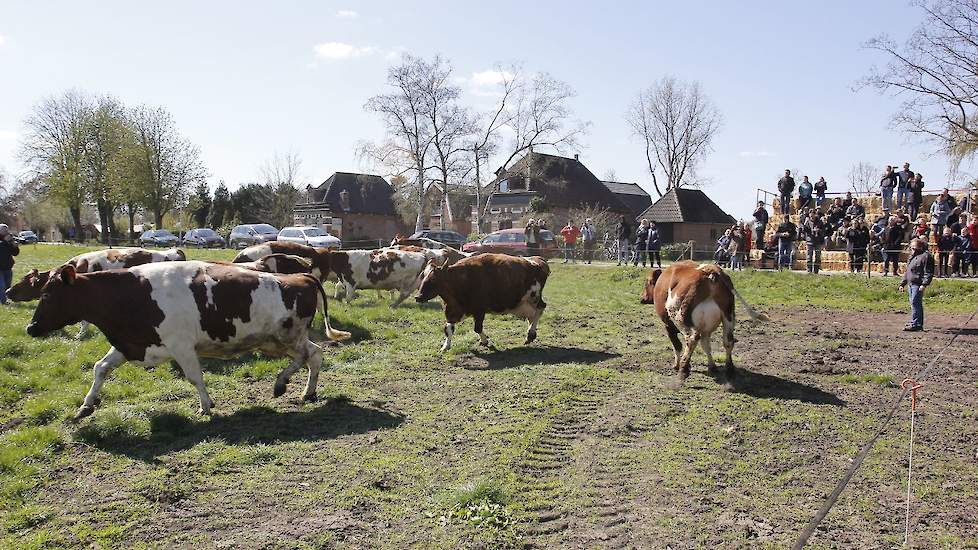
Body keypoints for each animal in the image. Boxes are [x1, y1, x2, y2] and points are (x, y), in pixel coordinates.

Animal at [23, 260, 354, 420]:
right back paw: (306, 392)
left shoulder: (180, 345)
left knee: (306, 356)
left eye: (48, 295)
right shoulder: (132, 344)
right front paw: (86, 406)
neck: (131, 294)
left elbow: (195, 377)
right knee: (314, 355)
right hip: (280, 339)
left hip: (287, 336)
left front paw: (206, 405)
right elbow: (100, 368)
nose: (31, 328)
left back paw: (282, 384)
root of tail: (300, 276)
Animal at [412, 256, 548, 354]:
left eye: (434, 279)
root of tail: (538, 262)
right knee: (532, 316)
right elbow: (448, 329)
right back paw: (530, 335)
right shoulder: (452, 310)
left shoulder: (479, 311)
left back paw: (530, 333)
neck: (460, 280)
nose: (418, 297)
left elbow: (477, 328)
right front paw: (445, 346)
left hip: (534, 297)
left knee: (540, 309)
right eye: (423, 276)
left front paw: (485, 341)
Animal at [636, 262, 768, 384]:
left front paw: (677, 365)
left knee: (691, 340)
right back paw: (729, 369)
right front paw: (712, 366)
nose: (642, 299)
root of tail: (711, 271)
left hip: (681, 318)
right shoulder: (705, 329)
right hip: (728, 316)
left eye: (647, 283)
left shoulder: (668, 325)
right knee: (728, 341)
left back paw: (683, 369)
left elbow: (677, 345)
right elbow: (706, 346)